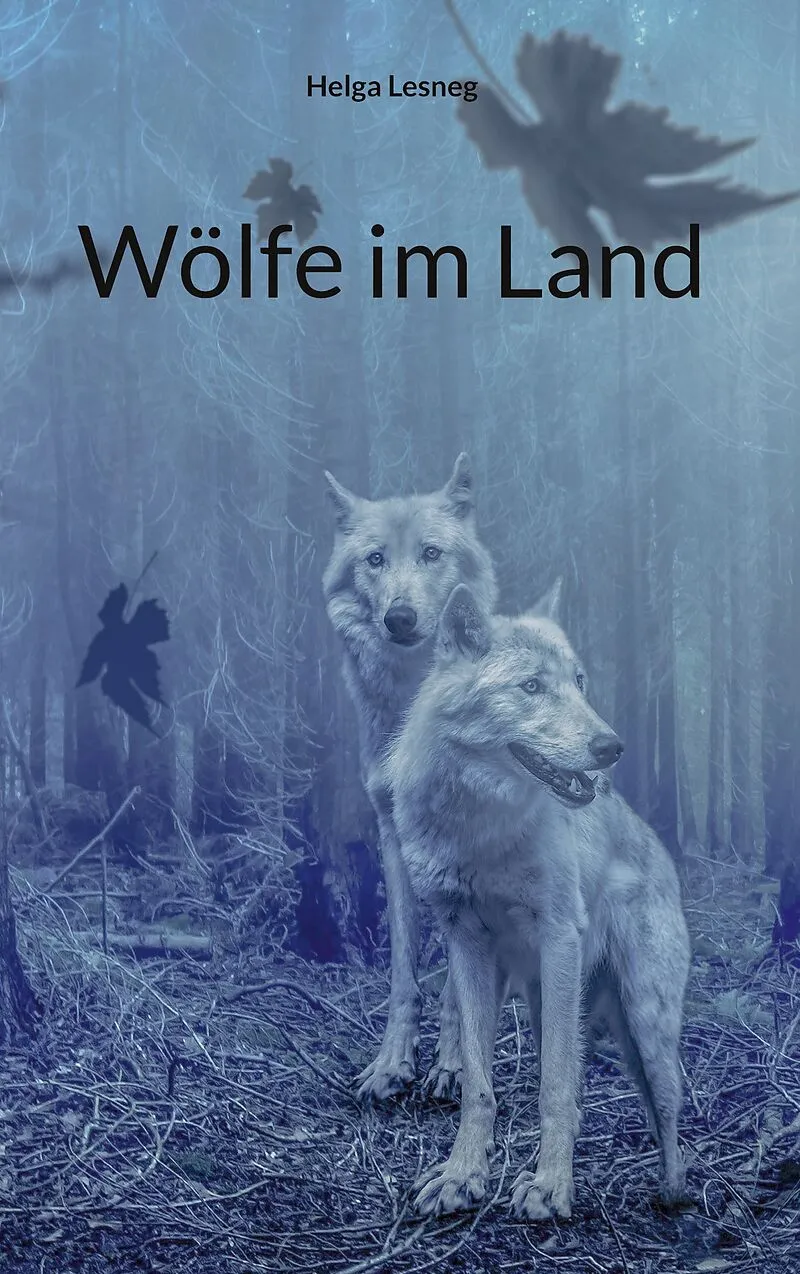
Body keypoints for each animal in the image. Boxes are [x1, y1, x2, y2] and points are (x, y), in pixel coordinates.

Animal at [323, 455, 497, 1101]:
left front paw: (453, 1066)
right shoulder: (392, 836)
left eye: (430, 553)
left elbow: (457, 983)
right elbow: (404, 969)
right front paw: (391, 1064)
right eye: (376, 559)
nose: (400, 617)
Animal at [387, 582, 691, 1218]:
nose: (612, 747)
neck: (480, 830)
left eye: (579, 682)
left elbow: (554, 1085)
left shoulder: (558, 937)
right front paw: (462, 1177)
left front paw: (551, 1187)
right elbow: (479, 1084)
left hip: (645, 1022)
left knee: (668, 1109)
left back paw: (672, 1193)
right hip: (543, 1000)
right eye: (531, 687)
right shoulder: (466, 943)